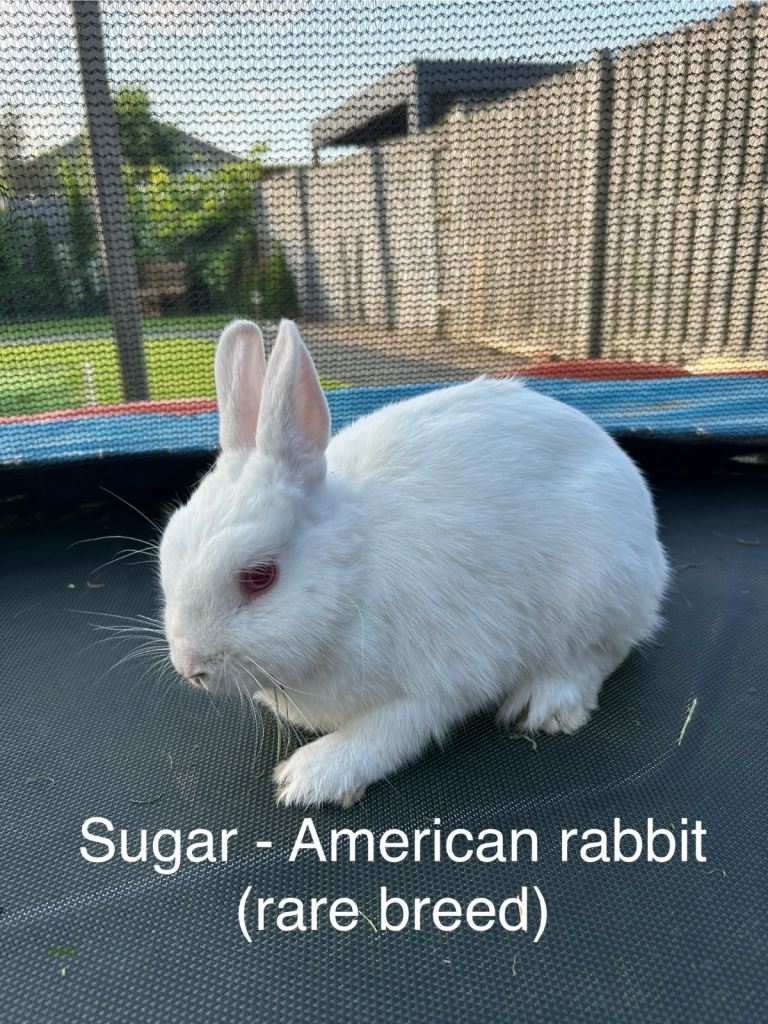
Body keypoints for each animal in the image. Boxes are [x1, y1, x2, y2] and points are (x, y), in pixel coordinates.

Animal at [159, 318, 669, 807]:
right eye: (167, 550)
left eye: (259, 577)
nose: (189, 667)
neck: (354, 574)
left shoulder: (440, 678)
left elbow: (389, 732)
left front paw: (313, 776)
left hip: (594, 589)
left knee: (600, 654)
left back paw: (545, 704)